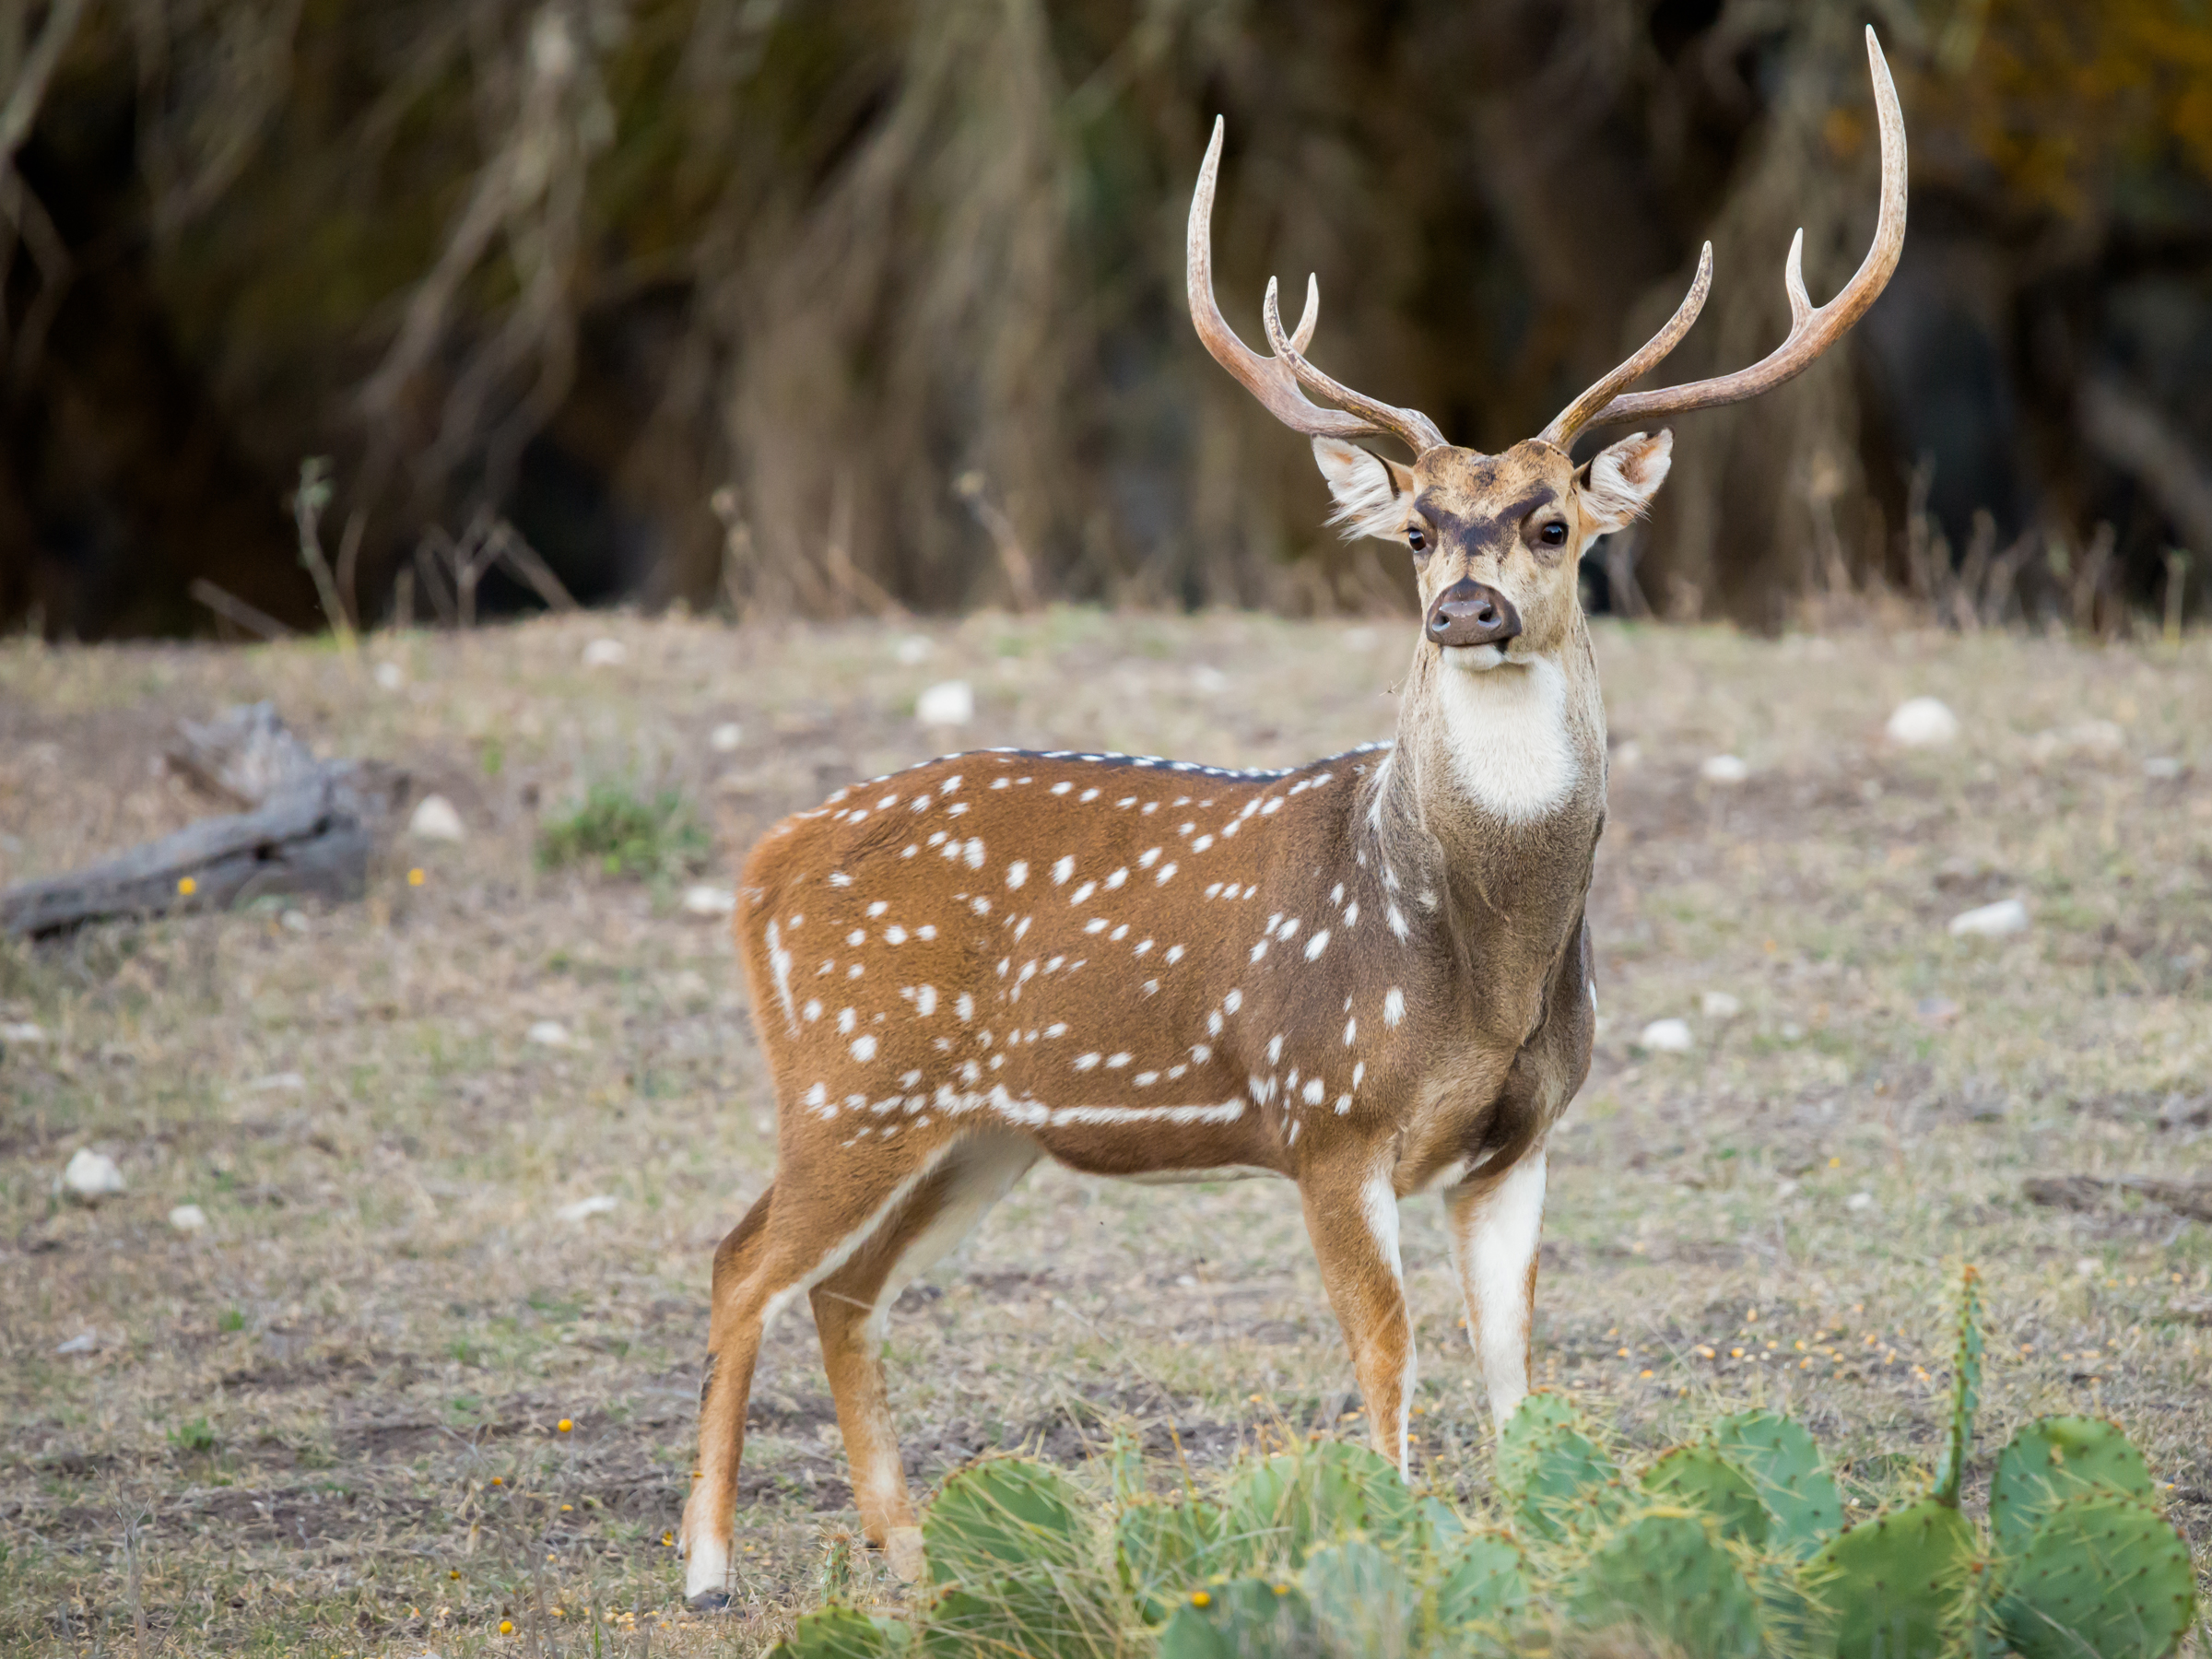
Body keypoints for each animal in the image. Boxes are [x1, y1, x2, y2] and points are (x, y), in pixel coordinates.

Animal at [678, 27, 1905, 1608]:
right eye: (1418, 530)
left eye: (1553, 523)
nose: (1466, 607)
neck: (1481, 962)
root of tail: (765, 864)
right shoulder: (1328, 1115)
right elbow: (1387, 1357)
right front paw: (1393, 1542)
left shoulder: (1525, 1137)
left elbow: (1514, 1370)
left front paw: (1536, 1550)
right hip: (852, 1076)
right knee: (740, 1261)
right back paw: (710, 1567)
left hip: (980, 1128)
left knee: (841, 1286)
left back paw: (912, 1557)